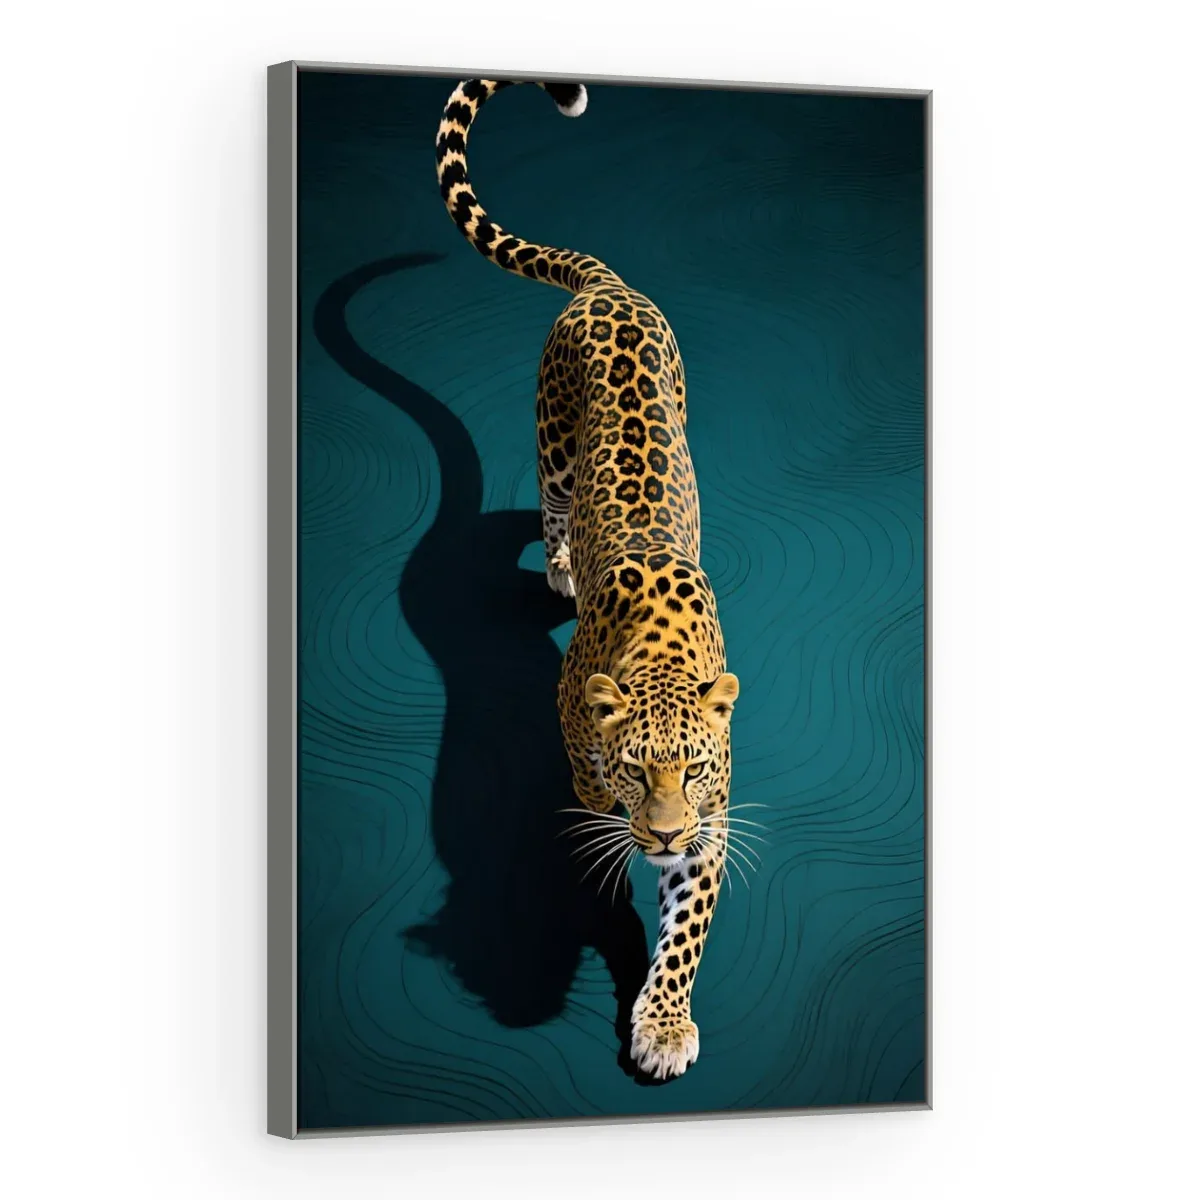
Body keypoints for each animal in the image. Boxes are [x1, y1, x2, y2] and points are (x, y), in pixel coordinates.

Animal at [436, 78, 746, 1080]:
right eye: (636, 766)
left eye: (693, 770)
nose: (664, 831)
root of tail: (610, 287)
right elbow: (590, 810)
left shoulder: (717, 822)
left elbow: (686, 930)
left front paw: (663, 1026)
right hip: (553, 440)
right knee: (550, 501)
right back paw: (563, 566)